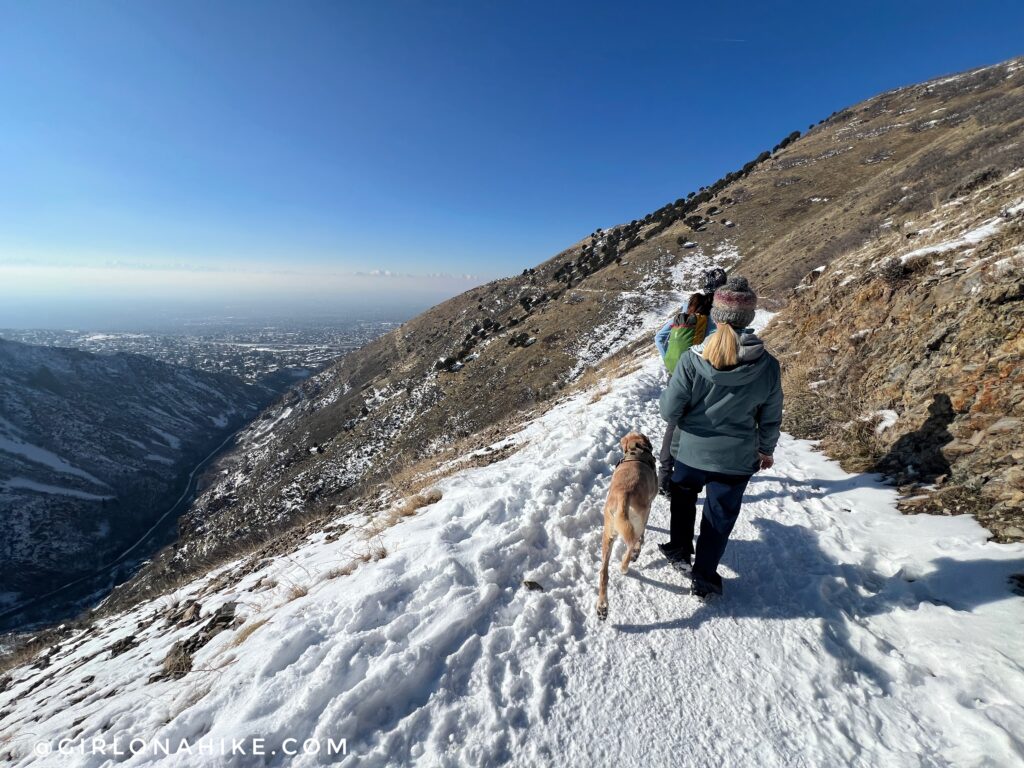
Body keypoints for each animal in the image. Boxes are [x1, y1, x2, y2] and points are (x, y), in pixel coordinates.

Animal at [598, 430, 659, 622]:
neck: (636, 450)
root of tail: (623, 494)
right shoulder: (649, 507)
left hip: (607, 534)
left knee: (603, 573)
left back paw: (602, 607)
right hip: (638, 520)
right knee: (632, 545)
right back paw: (627, 563)